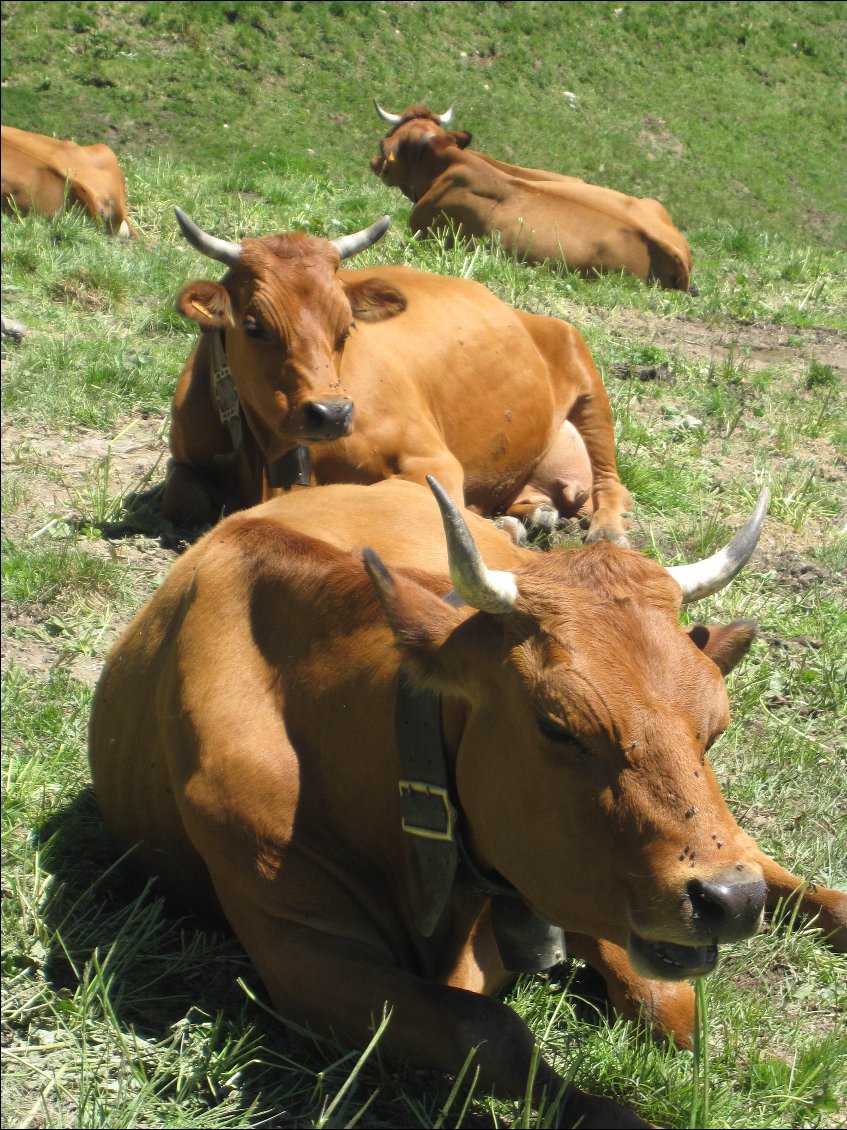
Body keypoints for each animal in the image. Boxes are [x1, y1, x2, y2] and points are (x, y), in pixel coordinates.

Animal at [89, 479, 844, 1130]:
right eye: (557, 725)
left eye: (713, 725)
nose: (729, 901)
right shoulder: (296, 951)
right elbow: (490, 1031)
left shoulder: (575, 881)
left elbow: (667, 999)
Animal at [162, 211, 627, 542]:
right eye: (254, 326)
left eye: (346, 327)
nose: (332, 414)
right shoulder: (183, 460)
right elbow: (182, 496)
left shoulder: (432, 459)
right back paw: (533, 514)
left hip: (584, 371)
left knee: (611, 481)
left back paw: (605, 530)